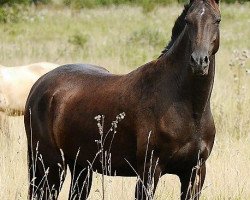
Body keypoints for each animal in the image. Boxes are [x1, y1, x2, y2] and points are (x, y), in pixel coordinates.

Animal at [24, 0, 220, 199]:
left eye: (217, 20)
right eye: (188, 20)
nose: (199, 62)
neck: (189, 110)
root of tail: (39, 85)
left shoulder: (195, 172)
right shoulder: (149, 171)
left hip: (80, 166)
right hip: (51, 166)